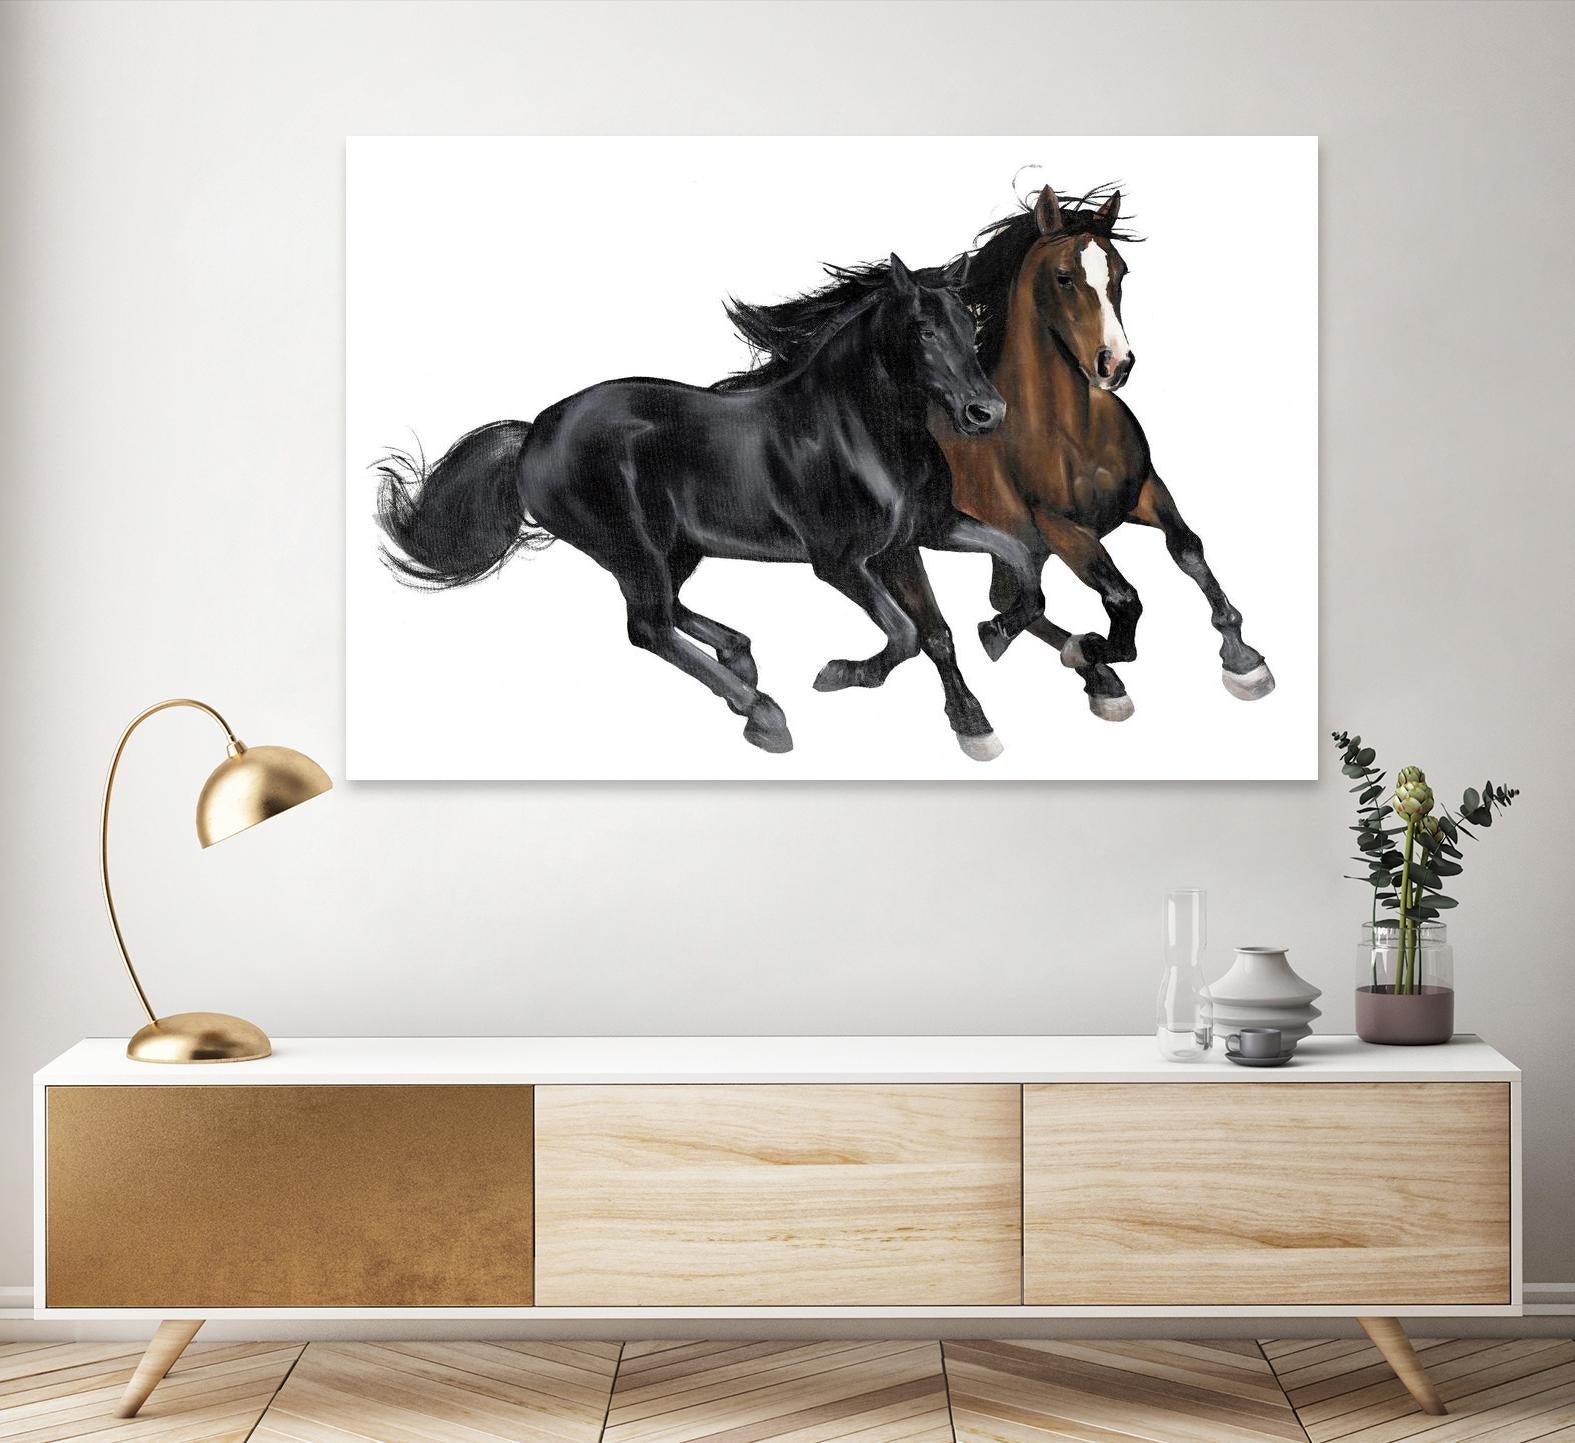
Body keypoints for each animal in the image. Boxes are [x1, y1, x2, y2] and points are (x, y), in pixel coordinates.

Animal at [375, 255, 1047, 759]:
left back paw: (741, 660)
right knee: (647, 625)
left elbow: (986, 588)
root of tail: (536, 430)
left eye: (970, 326)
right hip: (631, 548)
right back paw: (765, 714)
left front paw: (982, 694)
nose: (986, 413)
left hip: (676, 548)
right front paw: (840, 674)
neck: (857, 431)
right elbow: (906, 633)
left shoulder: (918, 536)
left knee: (666, 610)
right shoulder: (840, 562)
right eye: (924, 331)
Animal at [723, 185, 1275, 721]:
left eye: (1120, 272)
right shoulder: (1059, 527)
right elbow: (1122, 600)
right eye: (1065, 277)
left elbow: (1188, 549)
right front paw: (1089, 651)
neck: (1072, 432)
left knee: (1010, 600)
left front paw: (1244, 660)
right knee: (977, 615)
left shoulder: (1145, 492)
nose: (1114, 365)